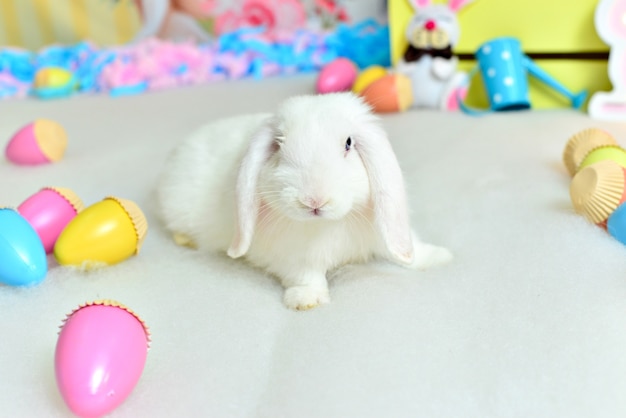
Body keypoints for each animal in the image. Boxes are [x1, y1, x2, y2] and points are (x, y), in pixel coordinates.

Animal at [154, 94, 450, 310]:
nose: (313, 200)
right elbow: (306, 275)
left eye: (348, 143)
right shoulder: (293, 257)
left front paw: (439, 257)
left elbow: (412, 249)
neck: (330, 224)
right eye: (278, 143)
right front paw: (306, 301)